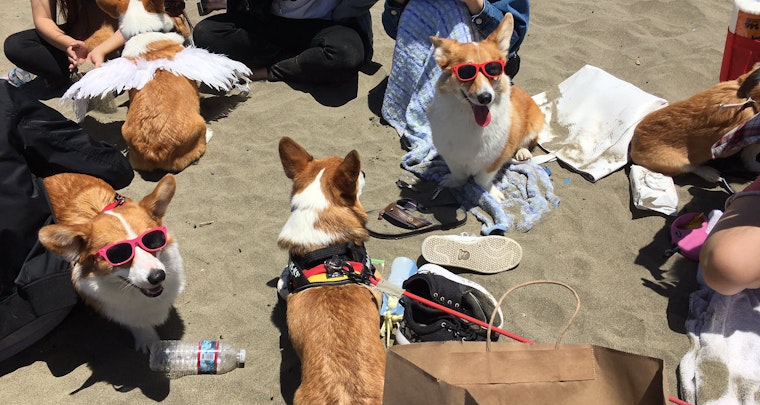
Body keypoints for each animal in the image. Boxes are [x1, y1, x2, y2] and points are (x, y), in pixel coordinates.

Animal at [428, 13, 548, 200]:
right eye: (466, 72)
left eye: (493, 69)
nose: (485, 97)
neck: (470, 121)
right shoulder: (451, 155)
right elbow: (459, 174)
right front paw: (453, 182)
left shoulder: (496, 159)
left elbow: (481, 179)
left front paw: (492, 193)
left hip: (536, 121)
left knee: (531, 139)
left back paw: (523, 152)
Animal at [632, 62, 760, 180]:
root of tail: (633, 146)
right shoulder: (752, 142)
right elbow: (751, 160)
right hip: (678, 163)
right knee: (692, 167)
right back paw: (711, 174)